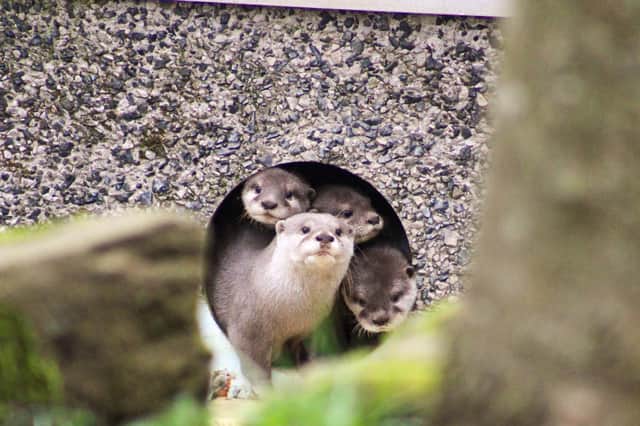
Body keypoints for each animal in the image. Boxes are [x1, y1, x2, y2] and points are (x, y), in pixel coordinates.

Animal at [207, 212, 354, 395]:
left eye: (338, 231)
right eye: (305, 228)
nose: (325, 237)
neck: (293, 312)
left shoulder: (315, 327)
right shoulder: (248, 327)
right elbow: (255, 364)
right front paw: (265, 391)